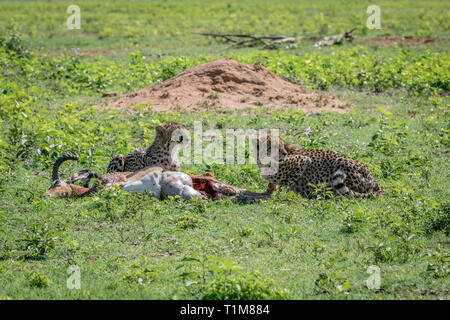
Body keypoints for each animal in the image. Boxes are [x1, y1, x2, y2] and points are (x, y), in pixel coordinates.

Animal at [253, 133, 384, 198]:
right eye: (275, 146)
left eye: (282, 145)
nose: (285, 153)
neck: (264, 161)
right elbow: (272, 184)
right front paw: (267, 192)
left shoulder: (303, 161)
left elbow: (287, 183)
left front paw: (282, 194)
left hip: (341, 164)